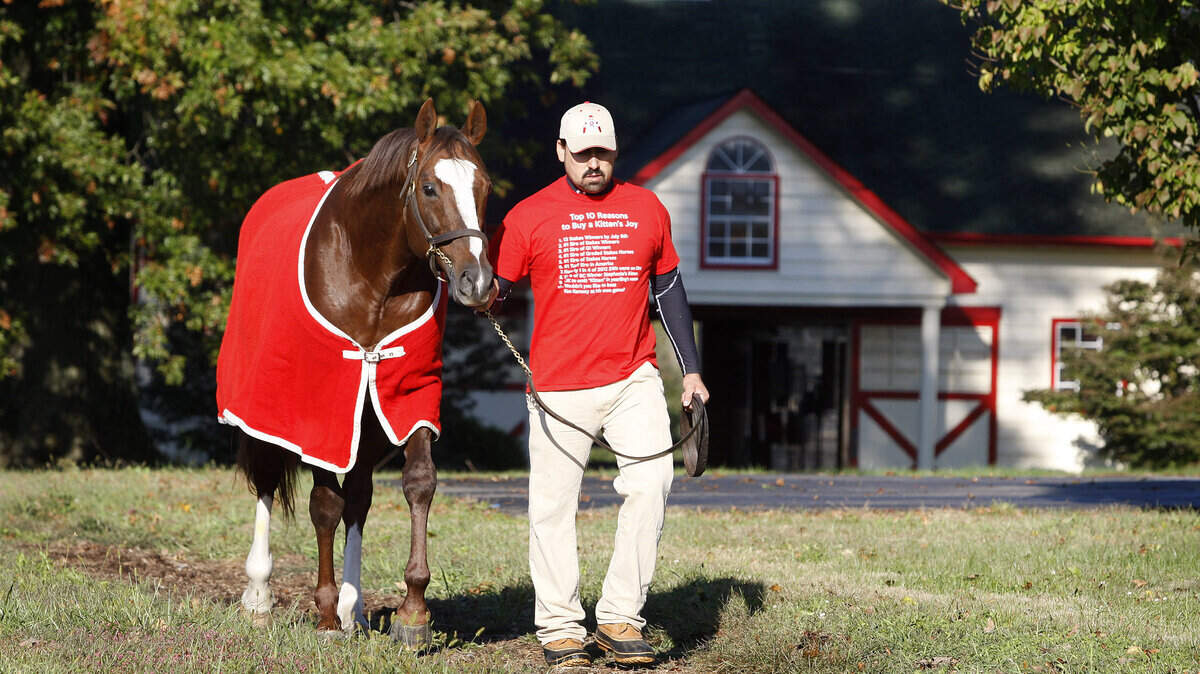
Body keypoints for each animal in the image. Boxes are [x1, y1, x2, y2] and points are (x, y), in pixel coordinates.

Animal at [214, 98, 493, 647]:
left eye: (485, 186)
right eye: (430, 187)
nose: (478, 282)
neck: (369, 272)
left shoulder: (406, 392)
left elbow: (416, 483)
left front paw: (412, 612)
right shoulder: (321, 404)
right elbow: (324, 503)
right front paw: (323, 617)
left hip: (364, 422)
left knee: (358, 499)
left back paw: (355, 609)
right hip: (267, 410)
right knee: (266, 481)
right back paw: (259, 595)